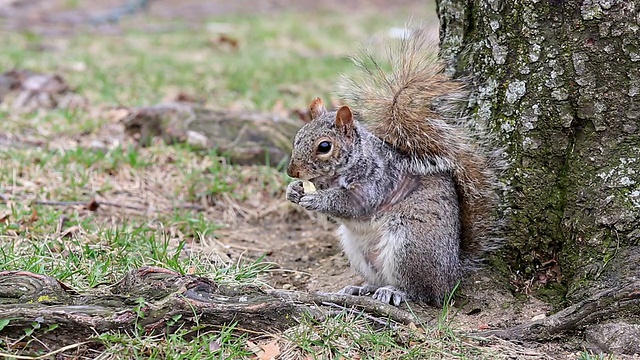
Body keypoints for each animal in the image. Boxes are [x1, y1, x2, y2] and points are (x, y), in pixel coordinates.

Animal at [284, 26, 500, 306]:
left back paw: (396, 292)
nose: (292, 171)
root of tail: (452, 274)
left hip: (410, 245)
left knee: (422, 292)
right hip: (359, 251)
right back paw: (362, 288)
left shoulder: (376, 183)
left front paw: (316, 200)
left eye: (324, 146)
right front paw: (293, 190)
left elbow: (350, 204)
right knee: (381, 279)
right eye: (297, 137)